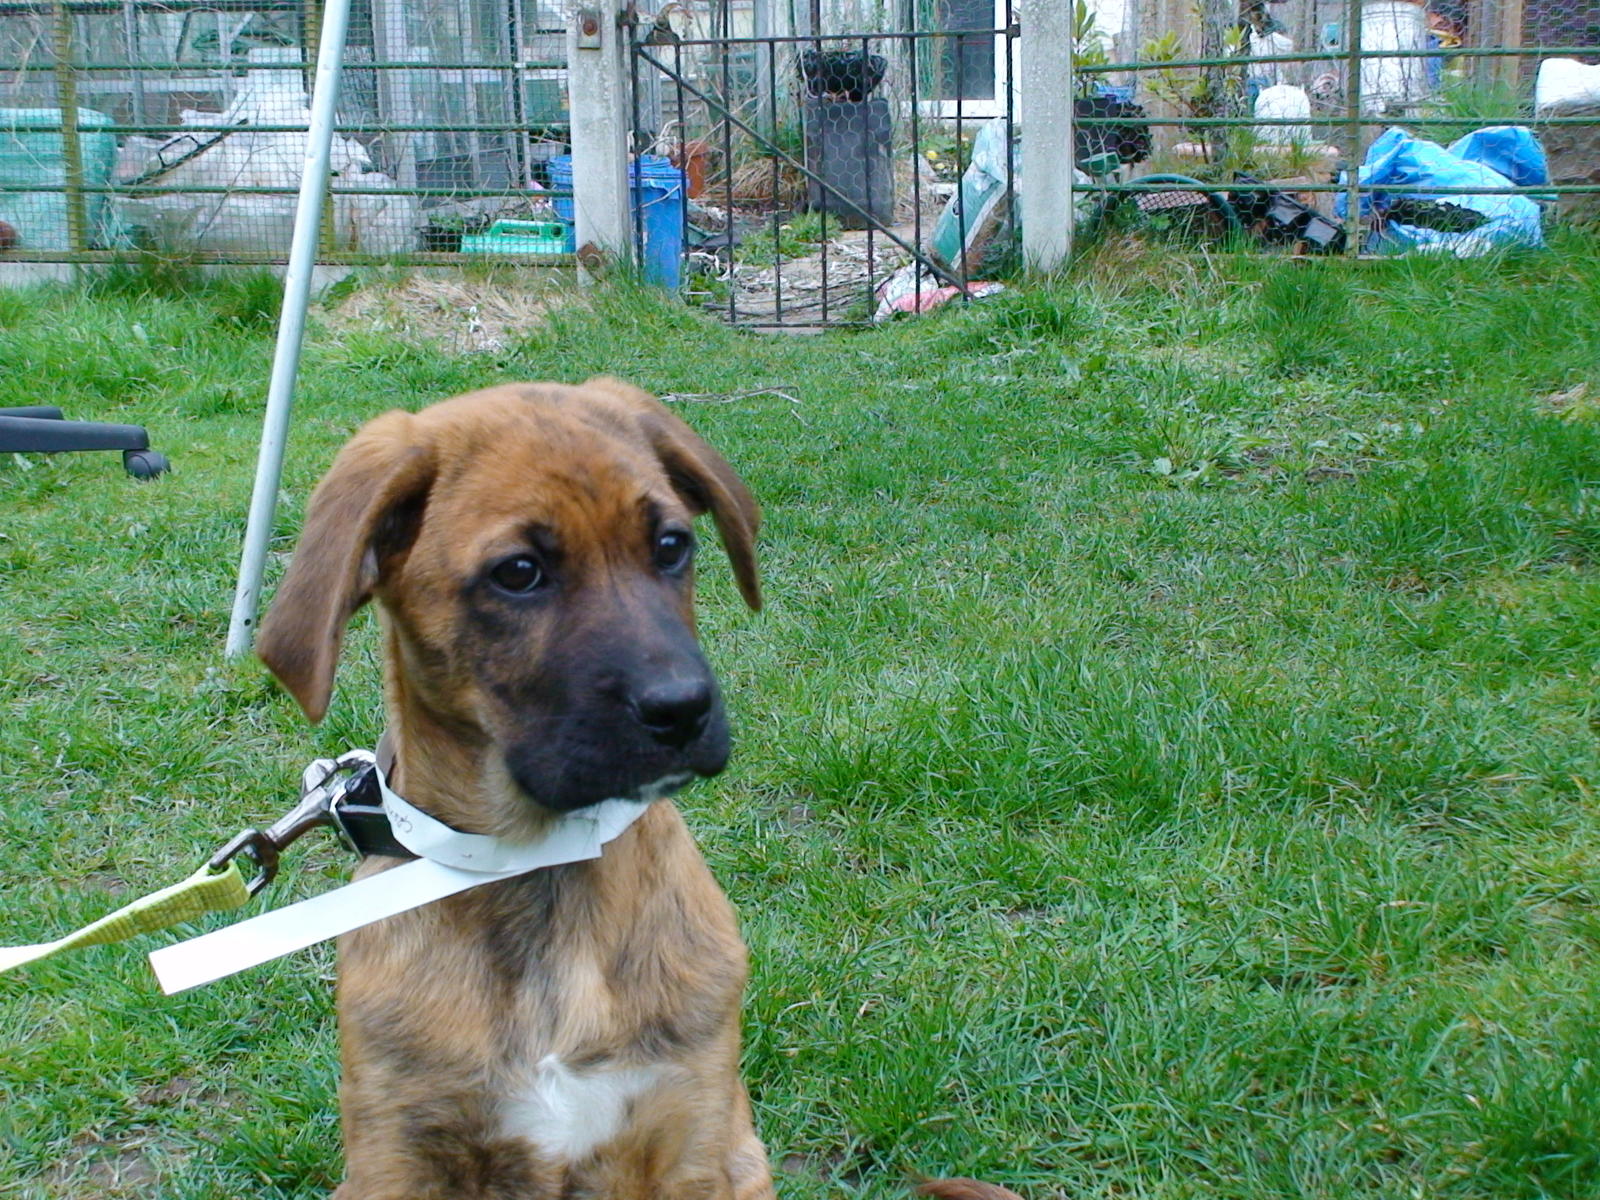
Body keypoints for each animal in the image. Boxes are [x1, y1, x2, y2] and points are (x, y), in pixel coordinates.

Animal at [256, 379, 1021, 1200]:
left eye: (671, 545)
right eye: (519, 572)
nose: (684, 708)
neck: (541, 866)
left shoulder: (689, 1134)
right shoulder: (398, 1152)